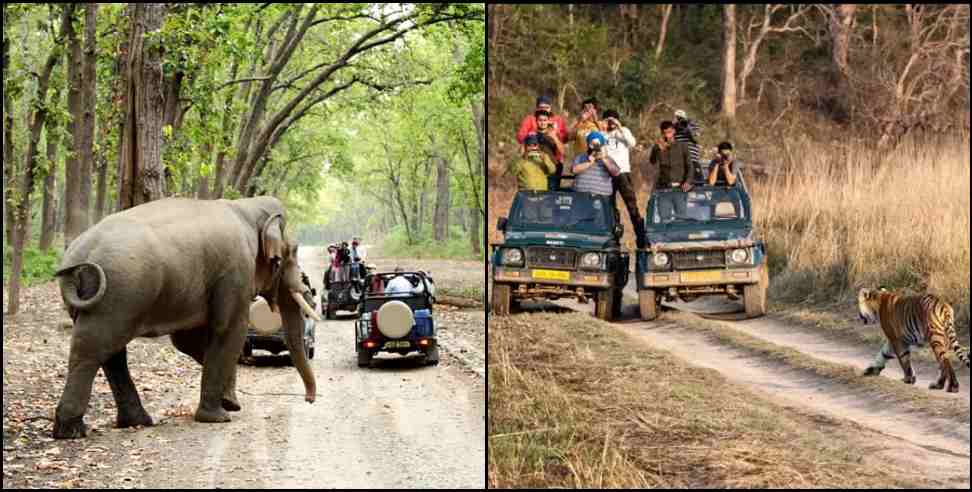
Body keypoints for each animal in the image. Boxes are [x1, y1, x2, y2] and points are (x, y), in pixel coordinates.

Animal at [52, 195, 318, 438]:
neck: (245, 206)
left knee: (110, 352)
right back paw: (71, 431)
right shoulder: (236, 270)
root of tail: (77, 256)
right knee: (94, 348)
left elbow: (186, 340)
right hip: (119, 294)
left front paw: (230, 402)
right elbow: (230, 329)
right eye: (291, 253)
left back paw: (135, 422)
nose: (309, 400)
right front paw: (219, 416)